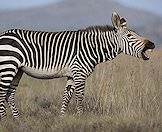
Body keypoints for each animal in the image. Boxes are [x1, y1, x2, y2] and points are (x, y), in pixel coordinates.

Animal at [0, 11, 155, 118]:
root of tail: (3, 34)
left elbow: (67, 96)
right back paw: (5, 120)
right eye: (130, 36)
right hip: (8, 66)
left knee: (9, 94)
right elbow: (80, 96)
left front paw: (62, 118)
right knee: (2, 93)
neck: (91, 48)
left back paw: (17, 120)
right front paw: (81, 117)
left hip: (18, 70)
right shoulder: (79, 72)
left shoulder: (72, 74)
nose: (152, 44)